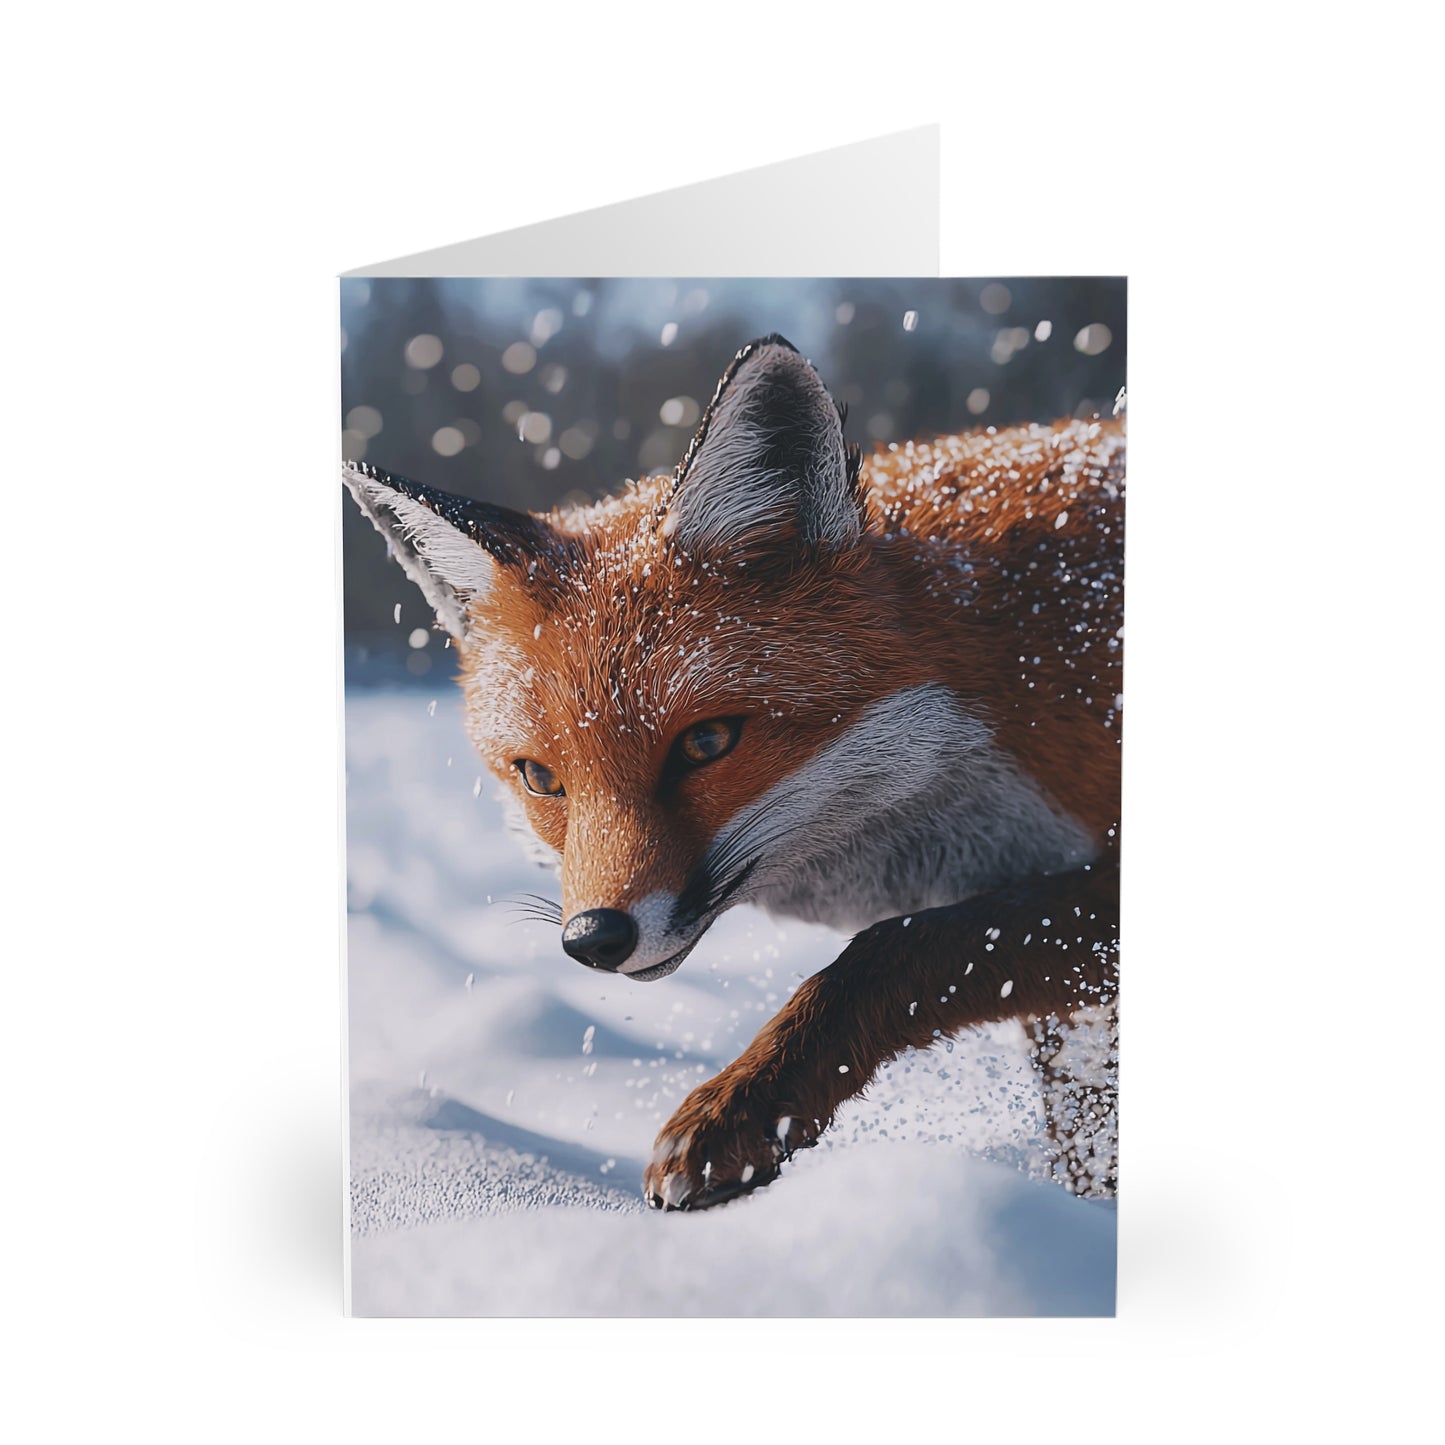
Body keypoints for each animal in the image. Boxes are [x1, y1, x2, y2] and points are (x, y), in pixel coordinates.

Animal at [343, 333, 1123, 1211]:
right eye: (542, 778)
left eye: (706, 742)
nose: (594, 938)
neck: (1006, 673)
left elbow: (889, 950)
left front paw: (742, 1105)